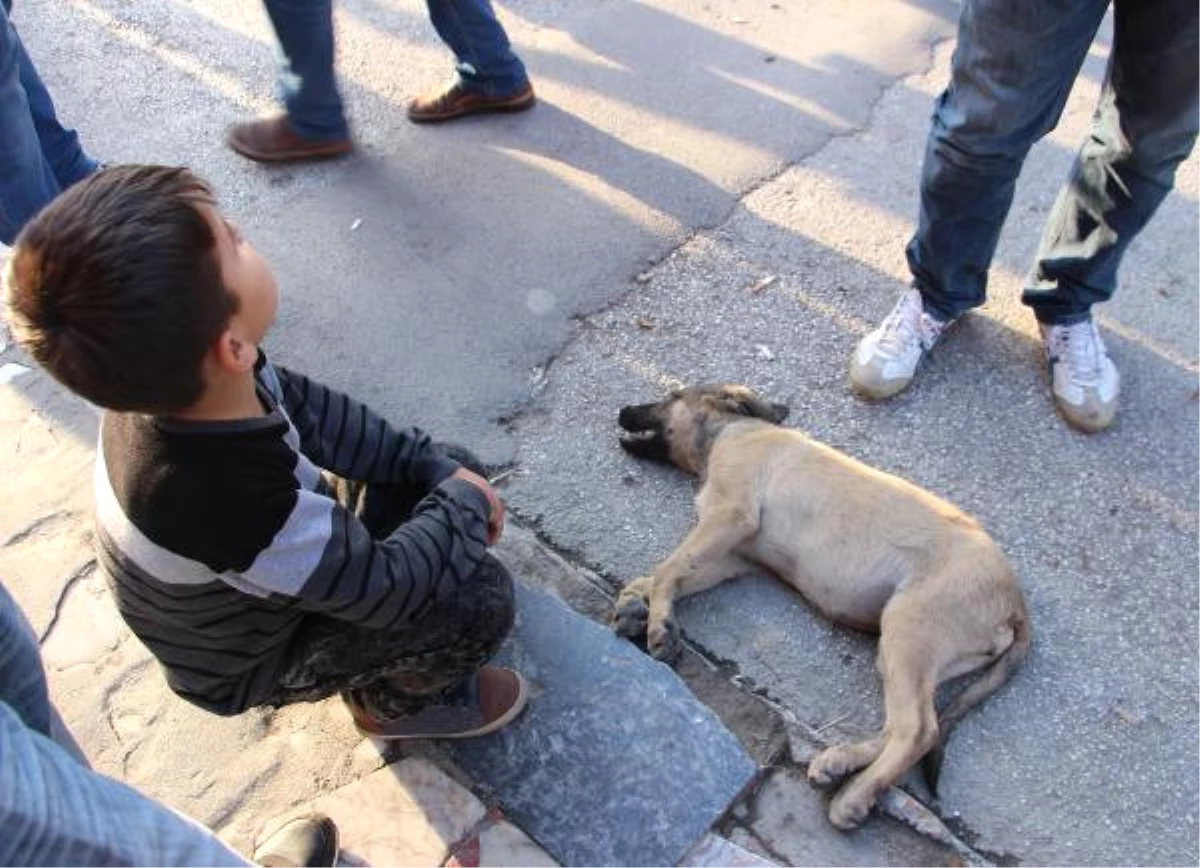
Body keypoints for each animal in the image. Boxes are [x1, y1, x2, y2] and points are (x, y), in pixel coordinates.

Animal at [614, 384, 1027, 830]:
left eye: (673, 395)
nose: (623, 410)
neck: (732, 429)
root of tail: (1015, 601)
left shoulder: (731, 516)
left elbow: (668, 568)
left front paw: (658, 625)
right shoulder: (735, 556)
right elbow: (667, 574)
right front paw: (634, 604)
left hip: (910, 628)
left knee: (918, 729)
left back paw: (855, 798)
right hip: (906, 649)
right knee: (901, 724)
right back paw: (840, 763)